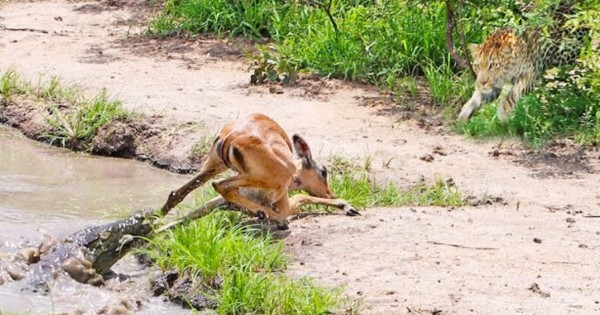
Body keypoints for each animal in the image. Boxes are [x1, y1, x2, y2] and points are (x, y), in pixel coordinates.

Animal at [458, 0, 588, 123]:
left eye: (493, 65)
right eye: (477, 66)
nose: (482, 82)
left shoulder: (531, 74)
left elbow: (513, 95)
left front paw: (503, 113)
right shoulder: (494, 85)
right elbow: (478, 96)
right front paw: (464, 113)